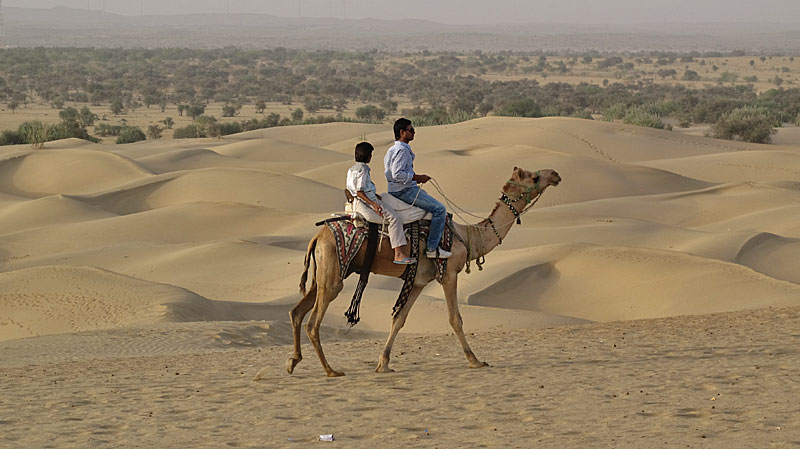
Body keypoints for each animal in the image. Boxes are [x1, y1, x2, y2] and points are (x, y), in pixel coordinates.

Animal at [290, 166, 564, 376]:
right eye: (534, 177)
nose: (555, 174)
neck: (467, 237)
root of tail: (317, 236)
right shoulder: (449, 274)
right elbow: (455, 319)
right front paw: (475, 360)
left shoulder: (419, 281)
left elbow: (399, 319)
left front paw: (383, 364)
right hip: (334, 274)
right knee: (313, 322)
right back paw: (330, 370)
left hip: (325, 274)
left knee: (297, 312)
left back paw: (293, 361)